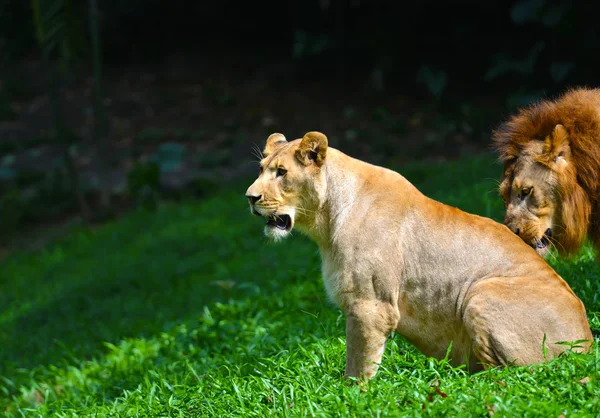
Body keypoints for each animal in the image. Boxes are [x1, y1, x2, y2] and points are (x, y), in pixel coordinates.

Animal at [246, 132, 592, 380]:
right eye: (261, 170)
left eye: (281, 172)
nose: (250, 197)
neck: (325, 221)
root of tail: (587, 343)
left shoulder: (370, 306)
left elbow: (358, 365)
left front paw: (350, 395)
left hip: (482, 291)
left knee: (511, 373)